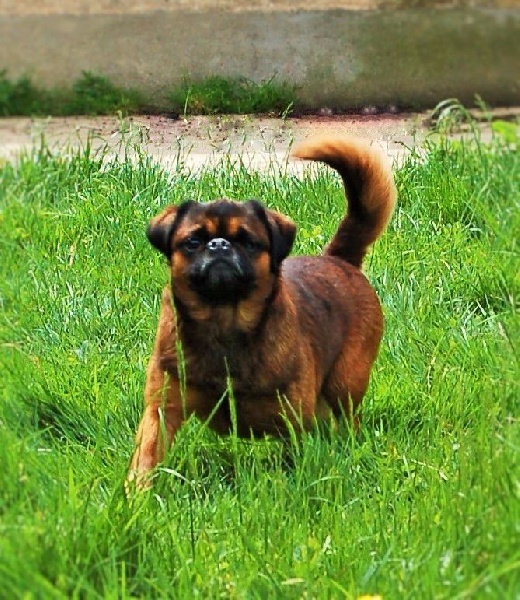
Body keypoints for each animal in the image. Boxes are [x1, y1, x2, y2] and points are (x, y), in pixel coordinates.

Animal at [128, 135, 396, 488]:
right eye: (193, 241)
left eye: (248, 242)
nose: (219, 245)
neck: (223, 322)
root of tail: (338, 259)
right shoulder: (162, 409)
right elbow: (147, 455)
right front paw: (137, 492)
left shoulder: (292, 420)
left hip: (345, 384)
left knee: (345, 418)